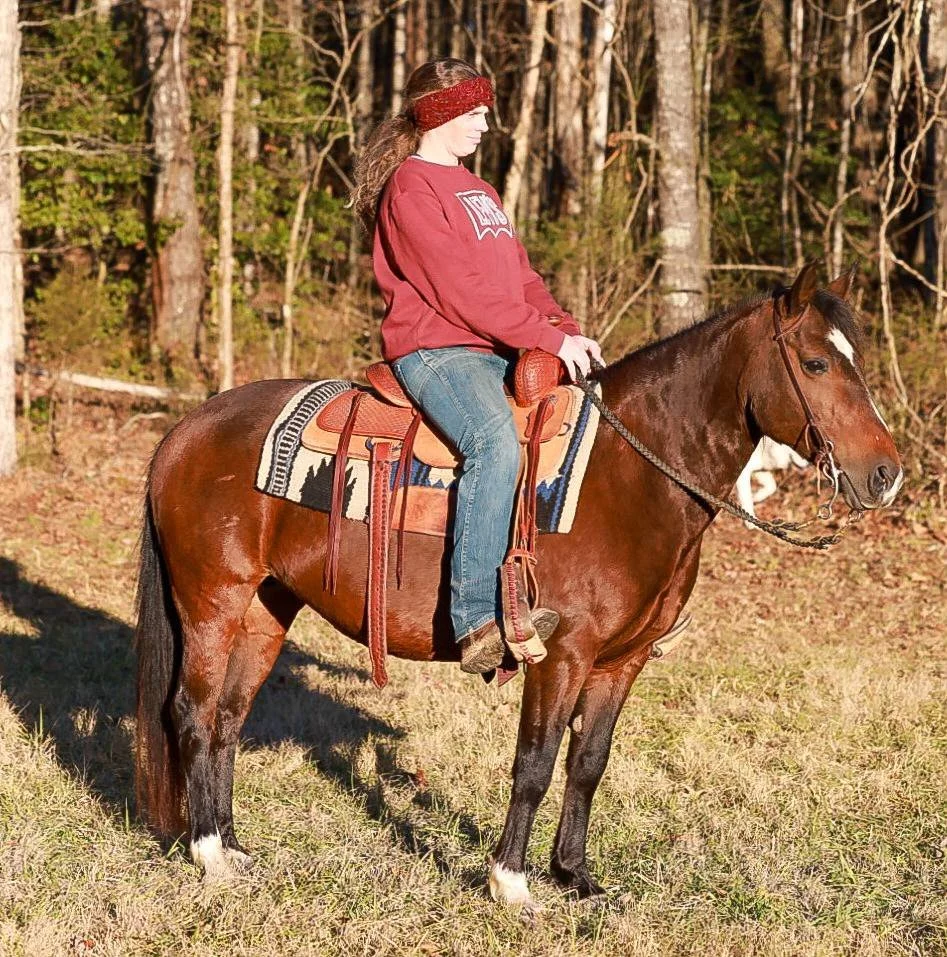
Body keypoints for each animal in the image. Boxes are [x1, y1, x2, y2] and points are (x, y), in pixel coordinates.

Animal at [134, 263, 902, 912]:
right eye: (815, 362)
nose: (885, 474)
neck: (632, 474)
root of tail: (185, 430)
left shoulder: (620, 662)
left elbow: (588, 764)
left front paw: (577, 878)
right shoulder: (560, 653)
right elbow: (534, 762)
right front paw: (511, 883)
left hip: (267, 607)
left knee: (229, 719)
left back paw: (233, 847)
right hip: (212, 601)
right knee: (192, 713)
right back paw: (207, 854)